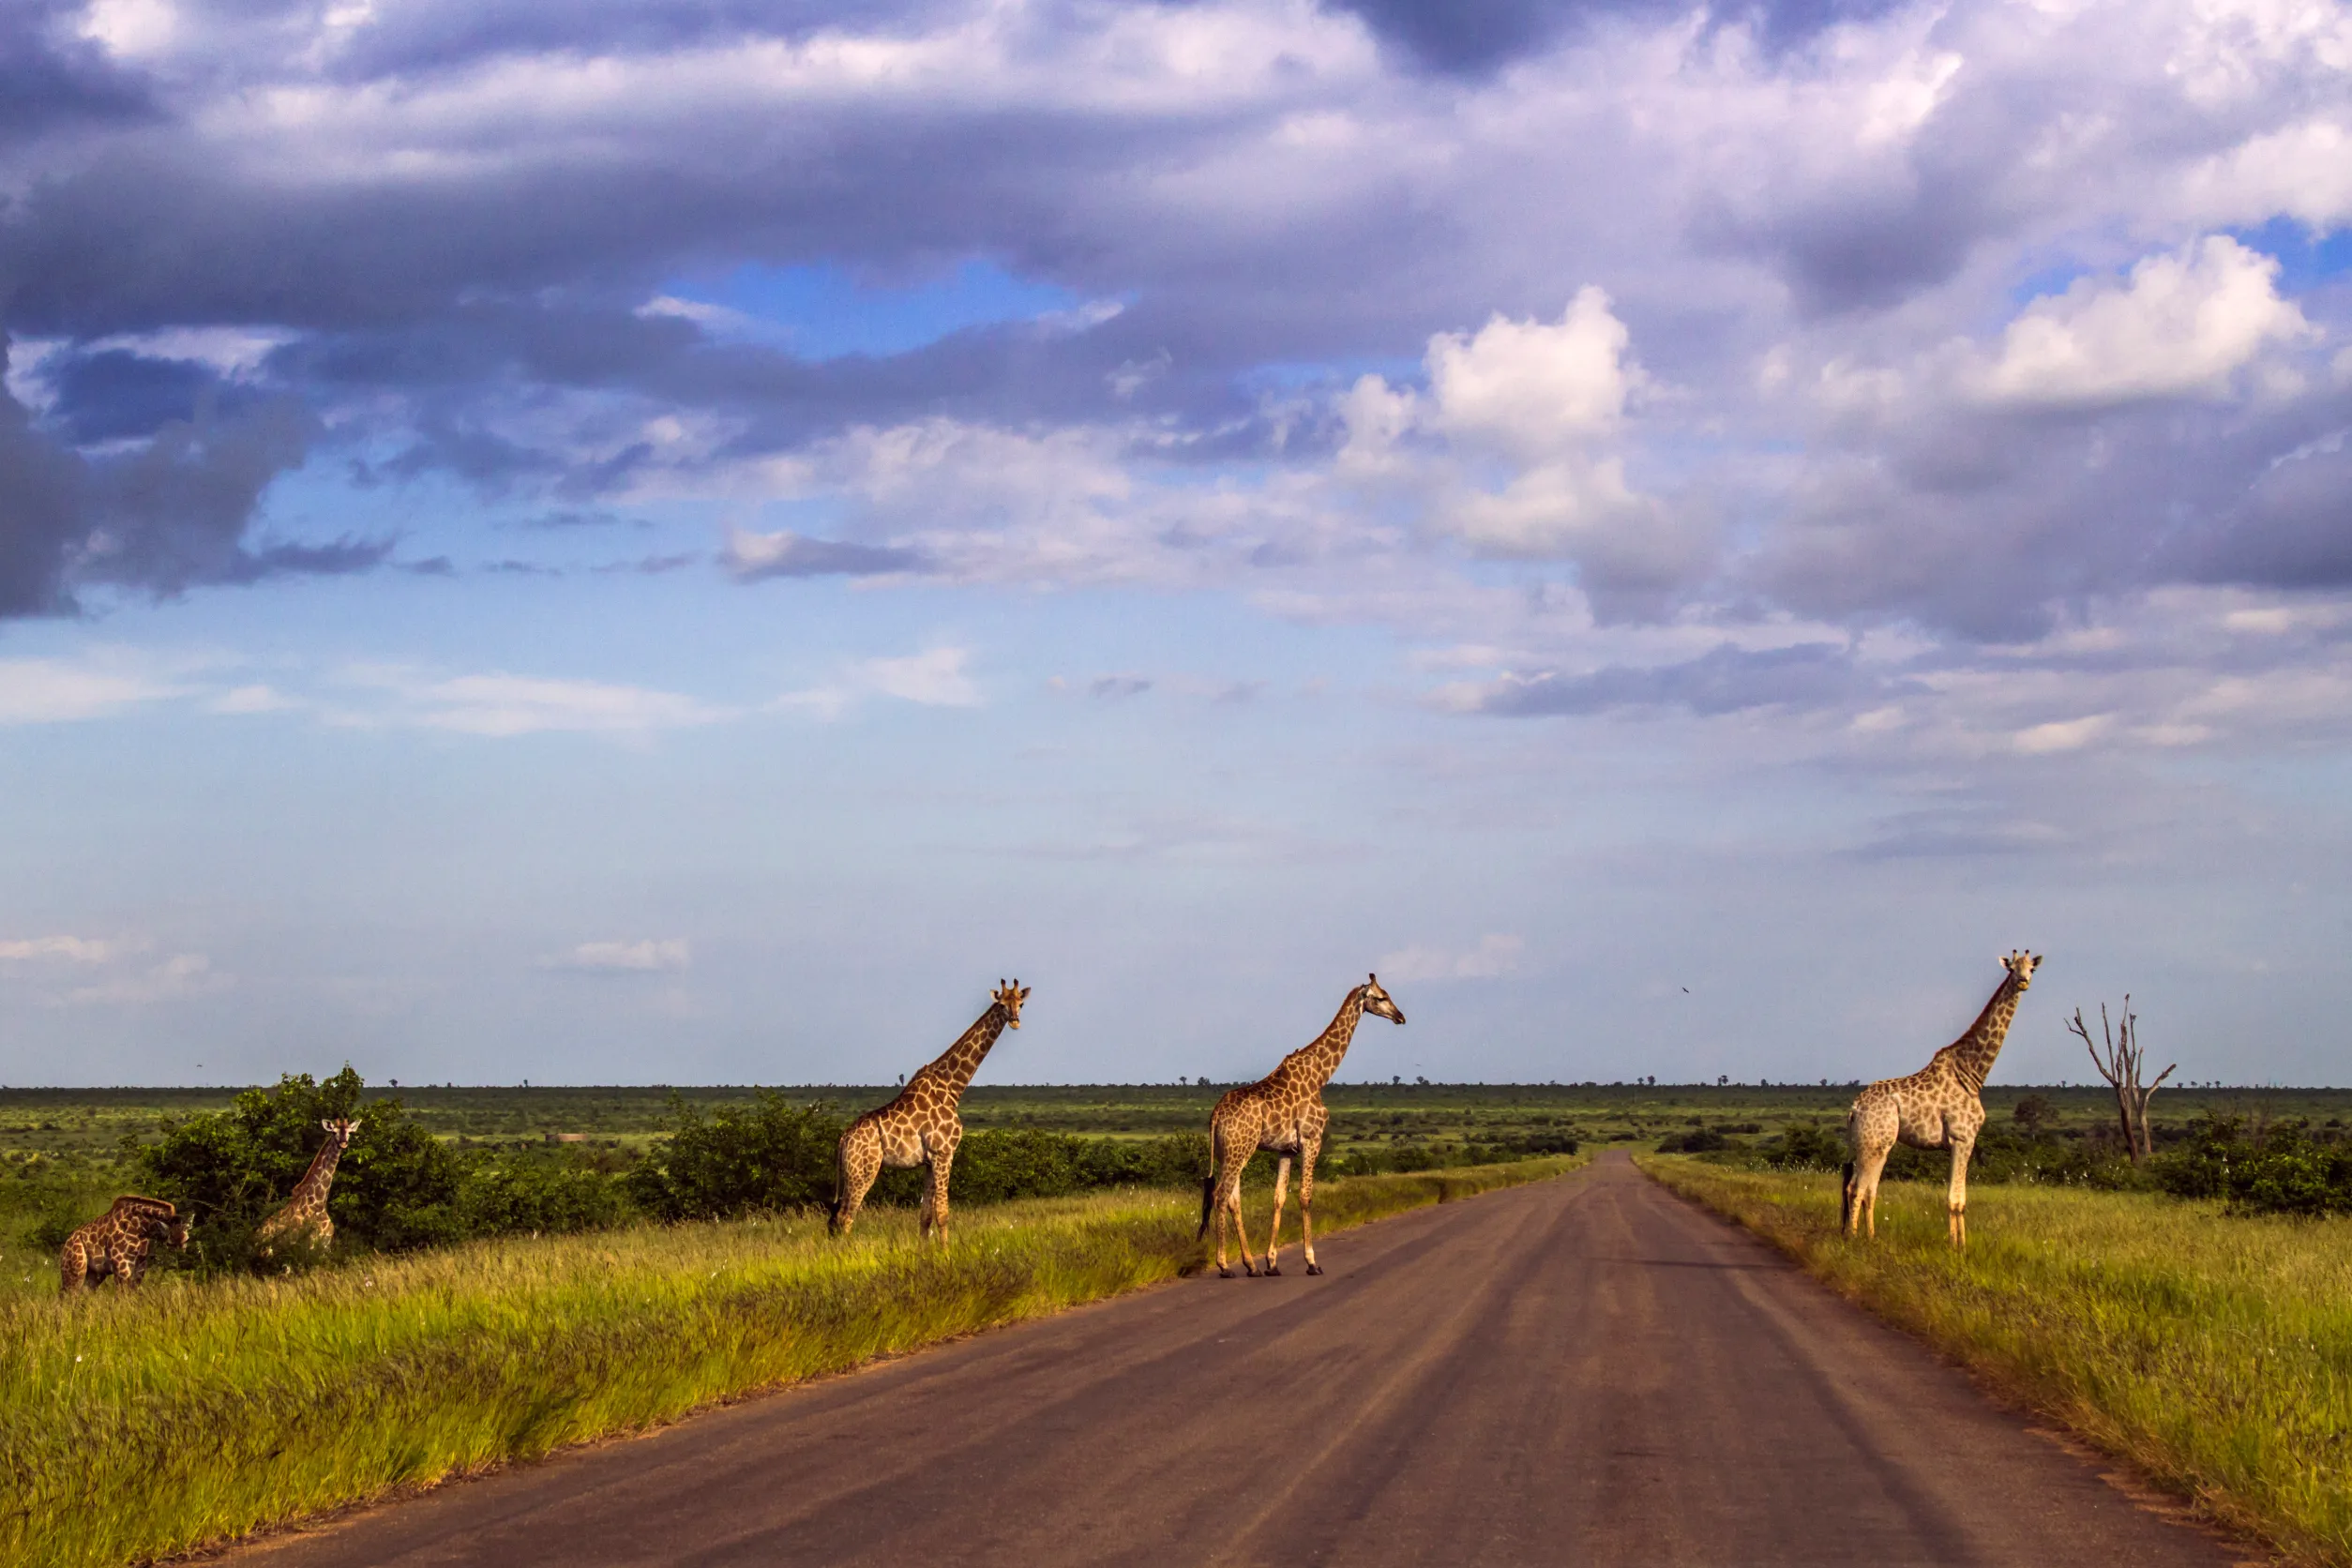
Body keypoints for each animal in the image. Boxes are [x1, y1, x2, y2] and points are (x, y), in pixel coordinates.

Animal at [59, 1195, 189, 1295]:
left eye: (187, 1238)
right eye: (171, 1241)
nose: (182, 1254)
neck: (140, 1228)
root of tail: (67, 1242)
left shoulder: (140, 1267)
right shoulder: (121, 1267)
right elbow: (121, 1297)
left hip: (94, 1274)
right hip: (76, 1270)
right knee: (68, 1295)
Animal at [255, 1118, 358, 1259]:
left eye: (349, 1132)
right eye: (334, 1132)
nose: (343, 1143)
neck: (318, 1204)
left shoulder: (325, 1246)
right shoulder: (310, 1246)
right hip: (270, 1252)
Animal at [830, 981, 1029, 1242]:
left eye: (1021, 1003)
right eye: (1002, 1004)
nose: (1015, 1020)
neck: (952, 1087)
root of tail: (844, 1139)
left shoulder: (928, 1161)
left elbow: (925, 1217)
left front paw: (926, 1251)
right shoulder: (944, 1153)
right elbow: (942, 1214)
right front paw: (947, 1252)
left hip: (850, 1172)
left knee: (834, 1218)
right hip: (863, 1170)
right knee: (845, 1217)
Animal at [1197, 974, 1406, 1279]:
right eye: (1381, 997)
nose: (1400, 1017)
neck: (1320, 1076)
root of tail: (1215, 1114)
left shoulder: (1286, 1150)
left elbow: (1279, 1197)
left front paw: (1271, 1263)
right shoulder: (1312, 1138)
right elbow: (1306, 1197)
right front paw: (1312, 1262)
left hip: (1228, 1152)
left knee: (1233, 1198)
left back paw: (1251, 1266)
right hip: (1240, 1149)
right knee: (1221, 1194)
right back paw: (1224, 1265)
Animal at [1842, 950, 2042, 1247]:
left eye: (2032, 968)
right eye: (2012, 968)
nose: (2024, 981)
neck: (1972, 1073)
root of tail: (1855, 1108)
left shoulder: (1959, 1142)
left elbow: (1959, 1199)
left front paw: (1959, 1243)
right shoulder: (1963, 1138)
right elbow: (1956, 1200)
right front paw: (1958, 1248)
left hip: (1871, 1143)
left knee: (1864, 1188)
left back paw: (1870, 1236)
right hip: (1875, 1143)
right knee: (1857, 1187)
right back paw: (1854, 1239)